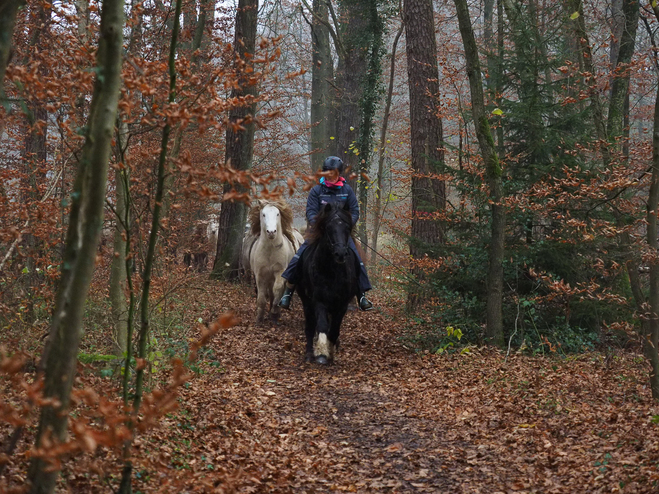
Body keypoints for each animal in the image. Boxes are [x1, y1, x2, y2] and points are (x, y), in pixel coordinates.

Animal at [300, 200, 360, 362]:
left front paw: (331, 350)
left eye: (347, 228)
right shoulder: (319, 301)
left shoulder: (342, 304)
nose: (340, 253)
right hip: (307, 302)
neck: (332, 271)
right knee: (310, 327)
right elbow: (321, 326)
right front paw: (321, 352)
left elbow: (334, 330)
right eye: (328, 228)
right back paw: (309, 353)